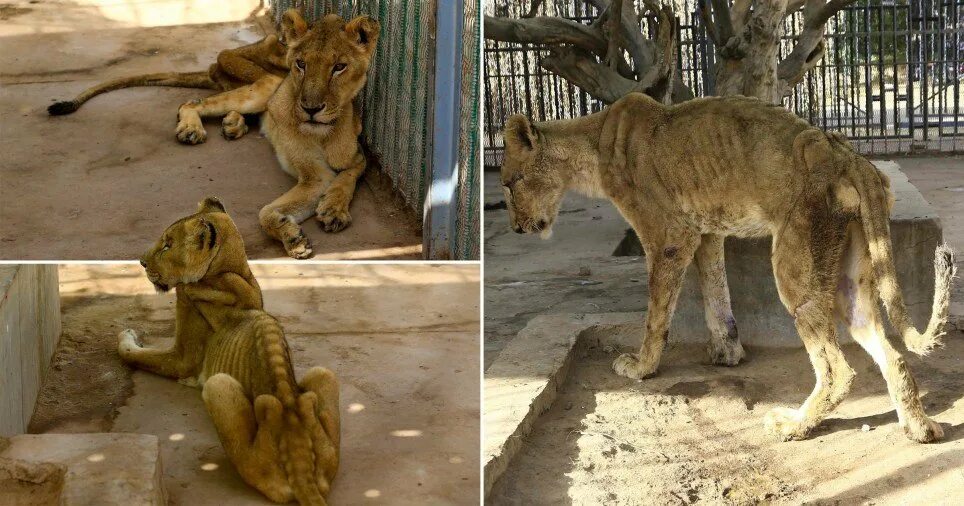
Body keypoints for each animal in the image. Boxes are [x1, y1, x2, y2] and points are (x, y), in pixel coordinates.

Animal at [119, 197, 338, 502]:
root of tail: (301, 463)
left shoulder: (182, 356)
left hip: (217, 386)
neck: (229, 271)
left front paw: (125, 335)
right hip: (324, 377)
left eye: (167, 245)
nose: (140, 262)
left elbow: (134, 354)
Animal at [504, 94, 956, 442]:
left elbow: (656, 314)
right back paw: (920, 428)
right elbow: (716, 294)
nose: (516, 228)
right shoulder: (705, 234)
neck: (593, 145)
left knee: (837, 370)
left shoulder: (669, 236)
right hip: (850, 277)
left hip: (796, 268)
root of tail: (850, 157)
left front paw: (642, 366)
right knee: (892, 354)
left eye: (510, 183)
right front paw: (727, 352)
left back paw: (793, 425)